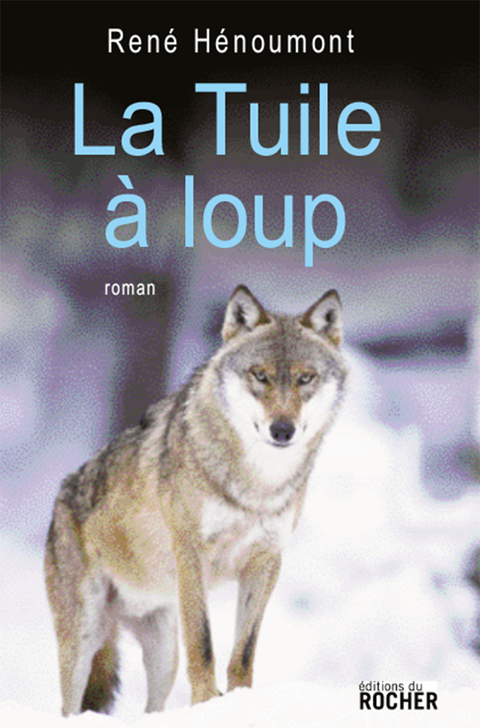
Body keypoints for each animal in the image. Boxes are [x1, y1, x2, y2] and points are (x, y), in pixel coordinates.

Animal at [45, 284, 347, 715]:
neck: (256, 485)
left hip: (163, 652)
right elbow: (203, 642)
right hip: (83, 641)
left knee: (153, 707)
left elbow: (244, 650)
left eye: (306, 378)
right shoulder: (190, 553)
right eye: (260, 376)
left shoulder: (266, 561)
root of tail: (61, 496)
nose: (282, 430)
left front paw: (239, 699)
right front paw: (207, 700)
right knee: (70, 706)